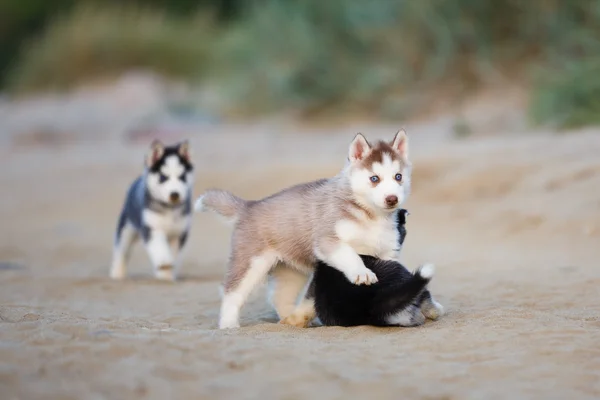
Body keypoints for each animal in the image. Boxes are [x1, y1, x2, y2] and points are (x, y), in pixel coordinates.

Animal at [110, 140, 195, 282]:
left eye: (182, 177)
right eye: (163, 177)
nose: (175, 194)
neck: (169, 209)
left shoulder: (179, 233)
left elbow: (173, 254)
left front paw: (167, 275)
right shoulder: (152, 228)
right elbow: (160, 248)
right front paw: (164, 263)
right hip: (126, 229)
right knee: (121, 252)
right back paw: (117, 274)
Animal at [197, 130, 412, 330]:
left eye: (398, 177)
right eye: (374, 178)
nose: (392, 199)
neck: (371, 216)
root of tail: (249, 206)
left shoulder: (387, 252)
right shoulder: (328, 240)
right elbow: (350, 255)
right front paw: (362, 272)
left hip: (290, 271)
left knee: (278, 297)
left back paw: (290, 320)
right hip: (251, 262)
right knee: (232, 292)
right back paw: (229, 324)